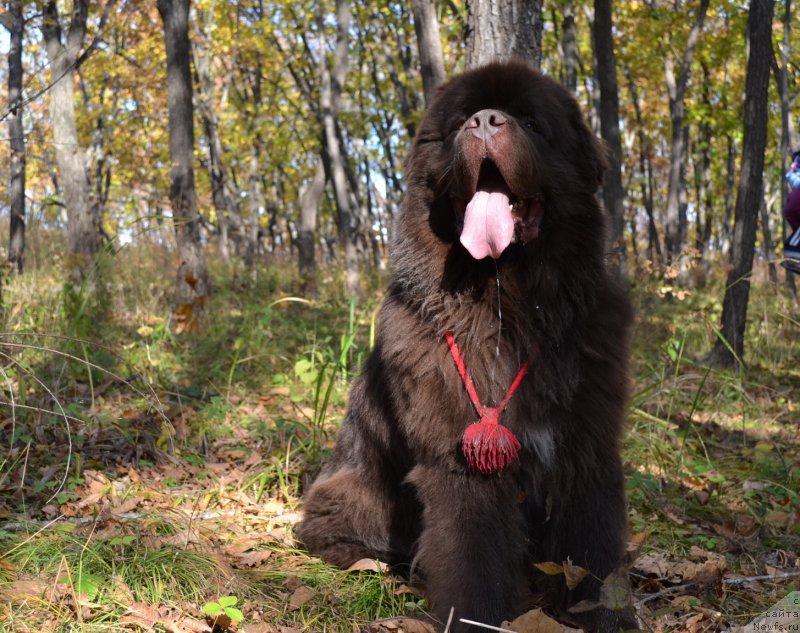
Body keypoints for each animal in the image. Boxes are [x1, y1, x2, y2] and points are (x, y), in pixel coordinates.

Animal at [300, 60, 636, 632]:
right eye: (460, 122)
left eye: (531, 120)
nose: (484, 121)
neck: (506, 308)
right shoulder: (458, 464)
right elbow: (473, 558)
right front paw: (477, 619)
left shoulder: (587, 448)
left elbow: (596, 555)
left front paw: (606, 618)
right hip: (354, 490)